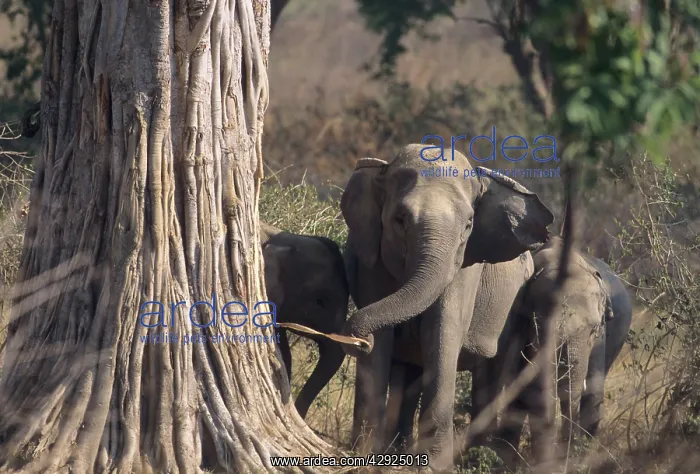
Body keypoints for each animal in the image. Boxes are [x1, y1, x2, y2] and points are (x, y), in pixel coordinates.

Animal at [339, 144, 554, 470]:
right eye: (400, 219)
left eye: (468, 225)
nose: (356, 340)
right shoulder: (371, 257)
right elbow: (384, 345)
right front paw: (364, 456)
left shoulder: (465, 265)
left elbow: (443, 332)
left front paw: (432, 465)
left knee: (494, 373)